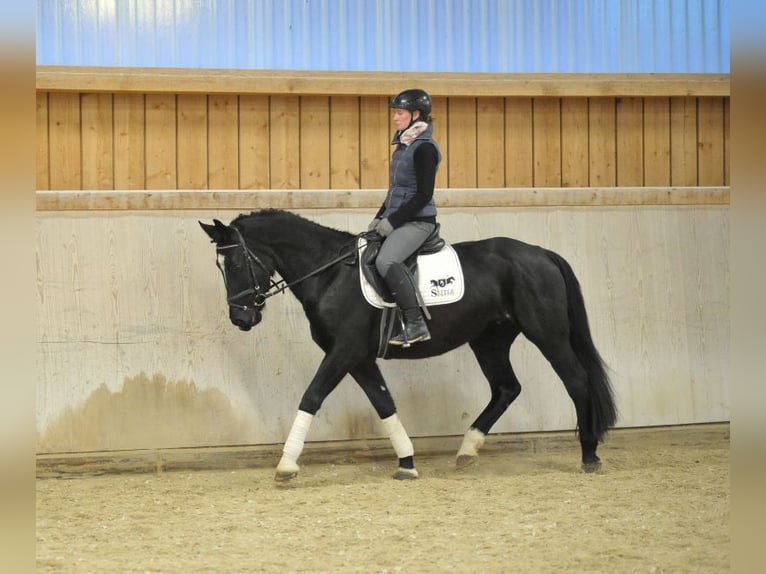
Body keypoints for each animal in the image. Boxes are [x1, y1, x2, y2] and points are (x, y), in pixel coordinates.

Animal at [201, 209, 620, 484]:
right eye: (221, 267)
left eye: (235, 263)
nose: (241, 319)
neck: (330, 273)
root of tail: (541, 253)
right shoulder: (359, 358)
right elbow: (384, 404)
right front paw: (406, 462)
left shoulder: (343, 352)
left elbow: (311, 397)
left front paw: (286, 464)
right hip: (490, 340)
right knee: (506, 388)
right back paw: (467, 450)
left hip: (547, 333)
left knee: (576, 380)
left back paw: (588, 454)